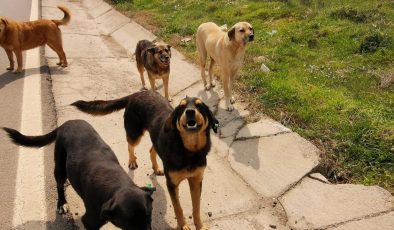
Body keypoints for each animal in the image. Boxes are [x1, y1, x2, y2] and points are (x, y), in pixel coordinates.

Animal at [4, 119, 157, 229]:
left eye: (149, 216)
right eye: (130, 223)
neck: (117, 185)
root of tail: (66, 123)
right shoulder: (90, 221)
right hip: (60, 168)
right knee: (59, 185)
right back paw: (62, 203)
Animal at [71, 90, 219, 230]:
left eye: (200, 106)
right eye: (182, 107)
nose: (190, 111)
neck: (189, 151)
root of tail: (137, 93)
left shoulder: (196, 181)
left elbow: (196, 208)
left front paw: (200, 226)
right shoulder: (172, 184)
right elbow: (178, 208)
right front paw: (183, 225)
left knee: (152, 149)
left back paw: (156, 167)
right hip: (134, 133)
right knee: (130, 145)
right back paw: (132, 161)